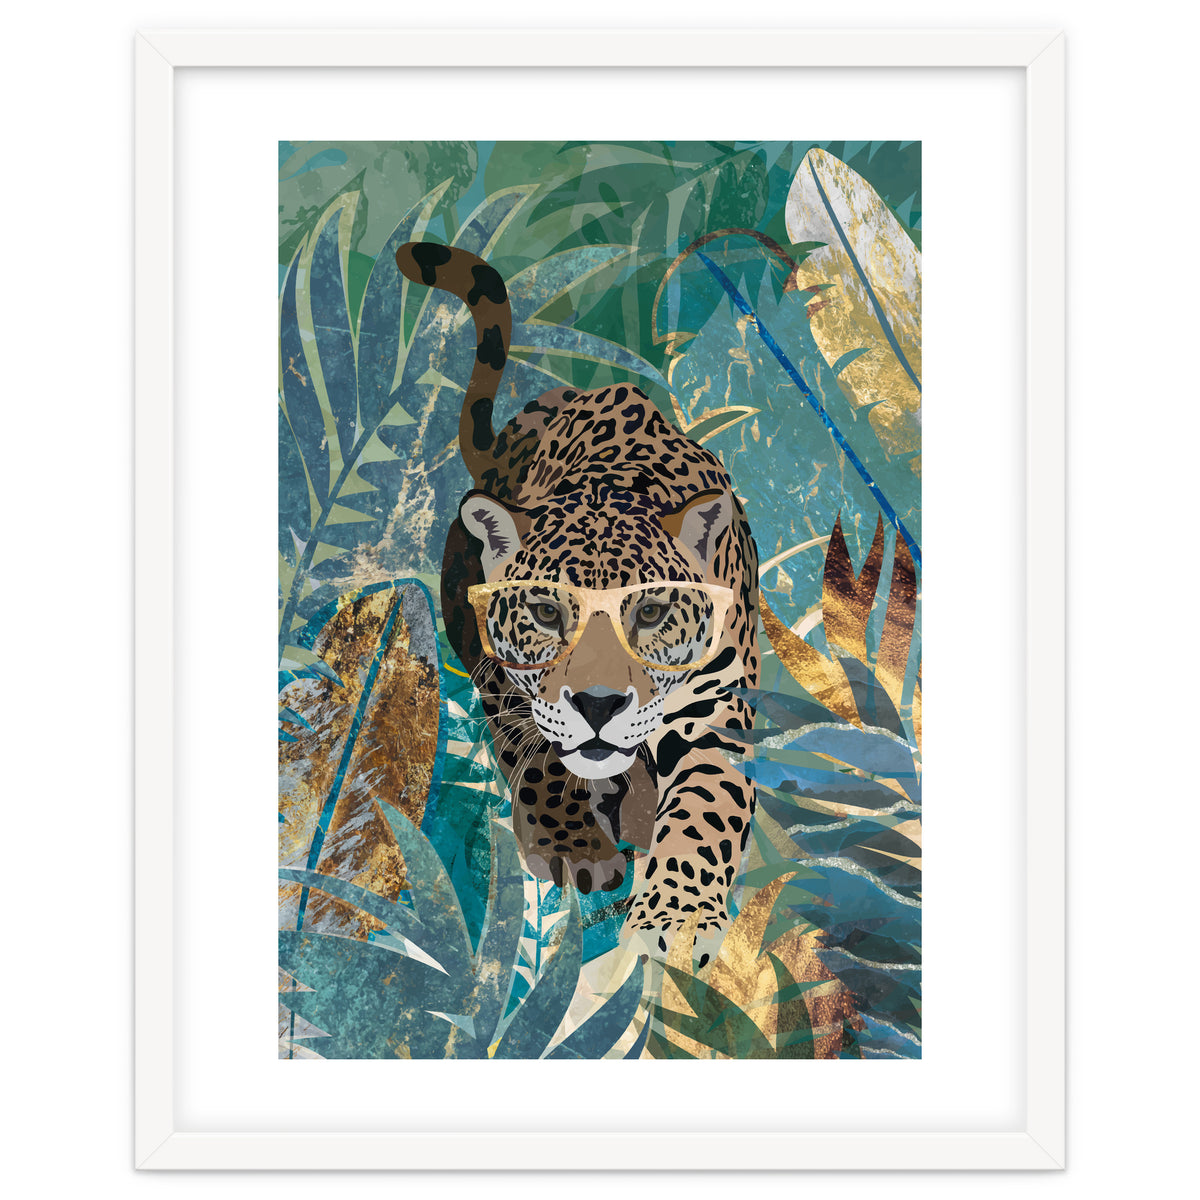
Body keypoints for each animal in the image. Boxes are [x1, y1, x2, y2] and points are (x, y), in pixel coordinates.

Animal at [395, 241, 760, 961]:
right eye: (545, 612)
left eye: (650, 612)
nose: (597, 705)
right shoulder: (504, 675)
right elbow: (538, 757)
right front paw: (574, 847)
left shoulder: (716, 711)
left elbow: (705, 811)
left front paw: (676, 920)